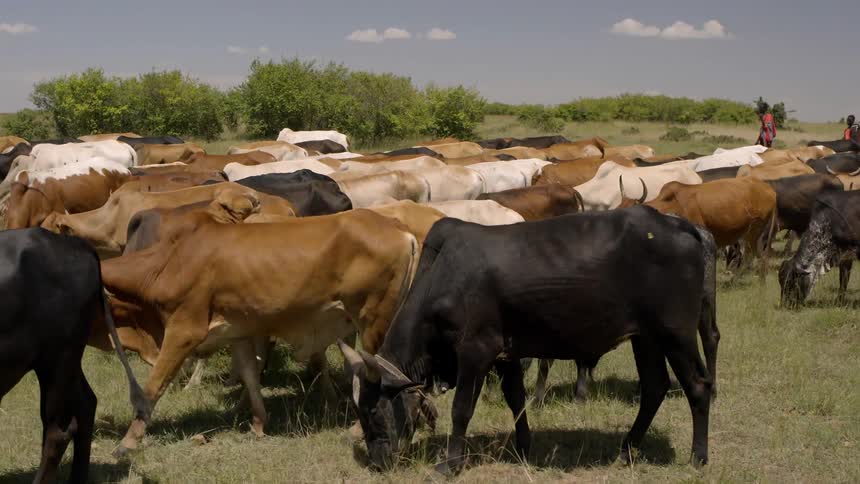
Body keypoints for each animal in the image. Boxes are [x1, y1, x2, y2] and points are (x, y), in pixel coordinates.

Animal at [102, 209, 417, 453]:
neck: (166, 263)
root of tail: (396, 226)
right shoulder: (238, 332)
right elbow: (250, 376)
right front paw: (257, 424)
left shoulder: (183, 332)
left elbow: (153, 386)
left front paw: (128, 442)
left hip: (373, 321)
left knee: (379, 375)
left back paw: (357, 430)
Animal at [339, 206, 717, 474]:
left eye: (373, 411)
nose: (378, 462)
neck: (441, 276)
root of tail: (681, 225)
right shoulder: (506, 353)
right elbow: (515, 399)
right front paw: (523, 446)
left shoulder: (475, 351)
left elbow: (462, 409)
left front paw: (451, 463)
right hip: (646, 337)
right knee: (654, 388)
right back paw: (626, 450)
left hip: (675, 333)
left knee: (698, 386)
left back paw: (698, 457)